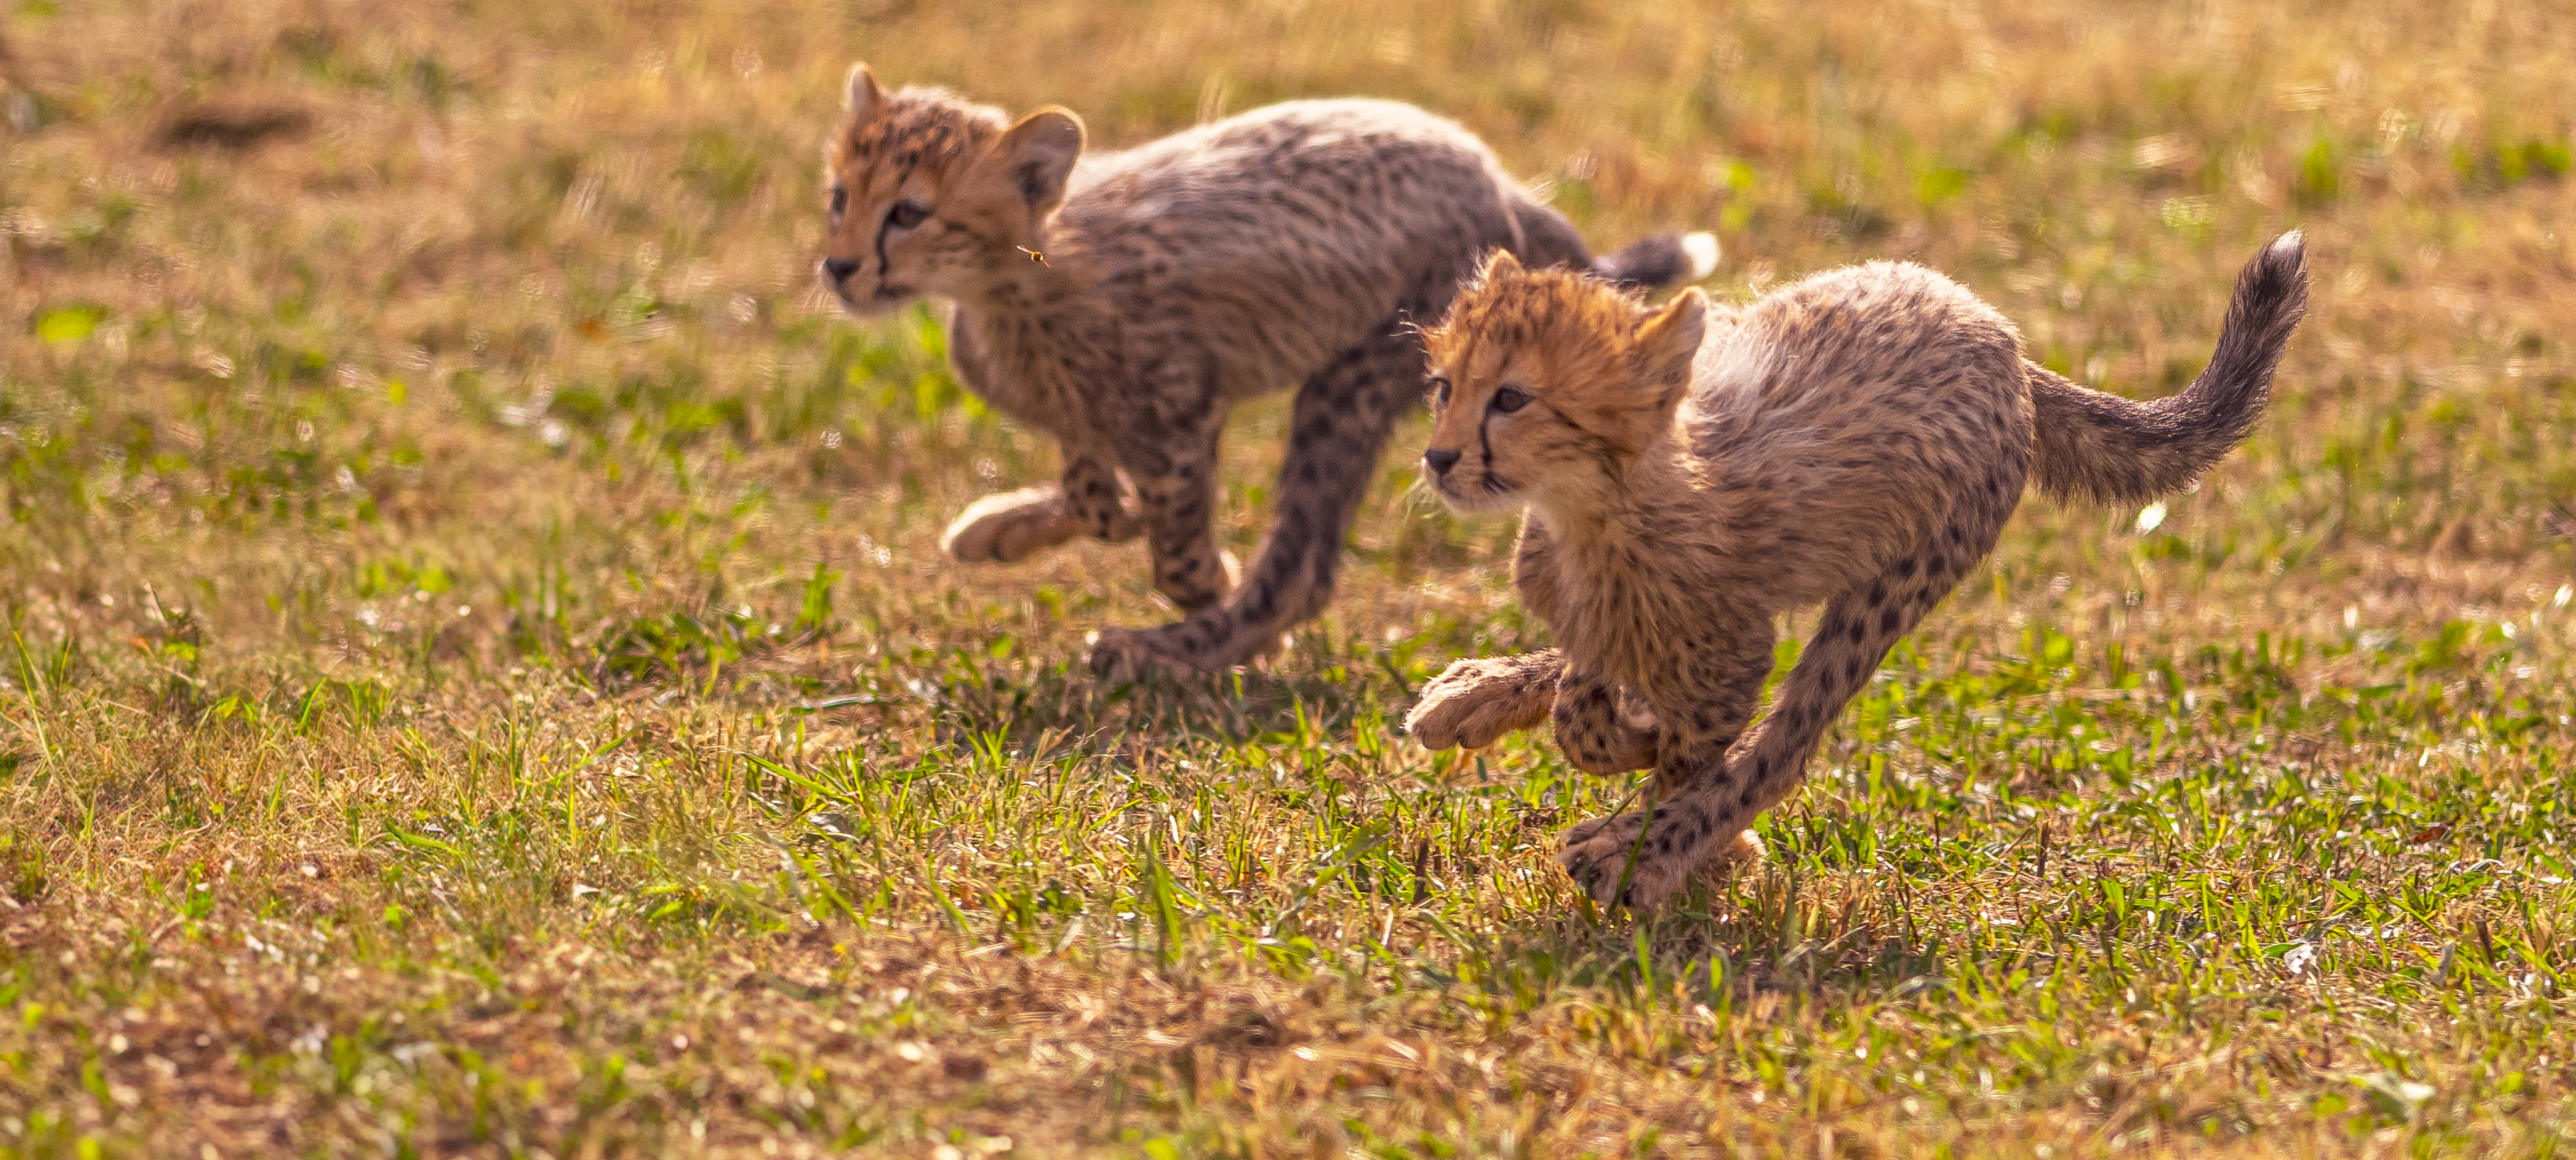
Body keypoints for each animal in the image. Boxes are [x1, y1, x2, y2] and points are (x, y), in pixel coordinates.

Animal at [817, 63, 1717, 677]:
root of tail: (1497, 177)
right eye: (839, 197)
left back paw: (1173, 650)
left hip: (1357, 379)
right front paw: (1012, 527)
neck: (1017, 277)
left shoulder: (1183, 410)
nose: (838, 267)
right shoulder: (1092, 414)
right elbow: (1091, 487)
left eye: (909, 212)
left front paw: (1194, 581)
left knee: (1300, 572)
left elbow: (1176, 549)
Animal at [1402, 234, 2309, 909]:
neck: (1596, 508)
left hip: (1898, 582)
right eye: (1443, 387)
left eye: (1512, 399)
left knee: (1784, 747)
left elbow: (1690, 757)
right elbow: (1584, 700)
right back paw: (1474, 695)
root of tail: (1993, 328)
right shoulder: (1614, 621)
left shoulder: (1732, 660)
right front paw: (1612, 733)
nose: (1438, 458)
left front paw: (1677, 843)